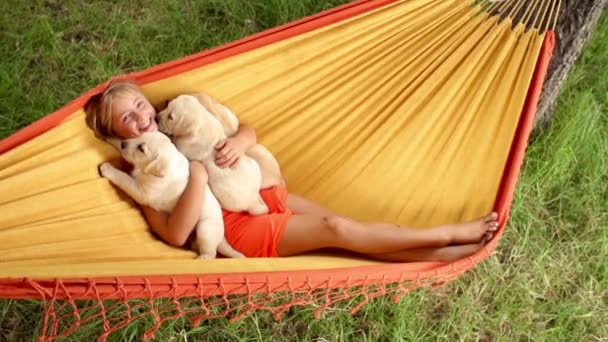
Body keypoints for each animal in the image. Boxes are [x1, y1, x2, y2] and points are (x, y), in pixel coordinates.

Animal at [98, 131, 243, 260]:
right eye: (140, 135)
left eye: (141, 149)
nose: (124, 143)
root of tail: (221, 238)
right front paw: (111, 138)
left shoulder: (143, 192)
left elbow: (124, 179)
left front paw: (108, 170)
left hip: (205, 228)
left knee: (211, 253)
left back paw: (202, 258)